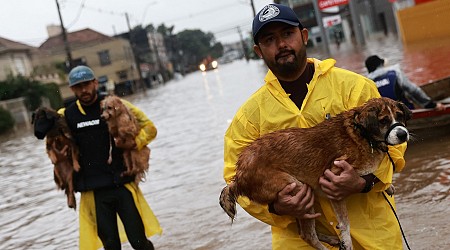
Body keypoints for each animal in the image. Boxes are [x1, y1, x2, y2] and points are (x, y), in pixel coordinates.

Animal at [220, 97, 414, 250]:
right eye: (383, 120)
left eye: (400, 116)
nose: (403, 134)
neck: (361, 133)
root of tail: (238, 177)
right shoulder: (333, 180)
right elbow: (345, 223)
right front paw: (347, 242)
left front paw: (388, 186)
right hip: (298, 189)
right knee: (306, 235)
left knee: (302, 231)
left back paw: (332, 240)